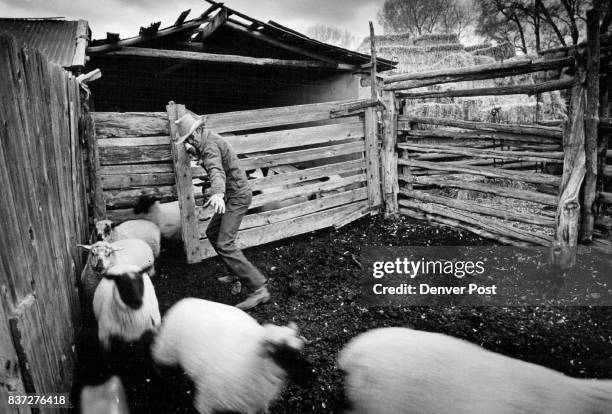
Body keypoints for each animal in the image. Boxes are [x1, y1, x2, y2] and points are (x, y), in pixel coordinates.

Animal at [150, 298, 314, 414]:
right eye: (280, 353)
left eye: (300, 350)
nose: (311, 375)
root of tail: (183, 302)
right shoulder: (206, 401)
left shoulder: (255, 406)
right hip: (166, 351)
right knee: (155, 357)